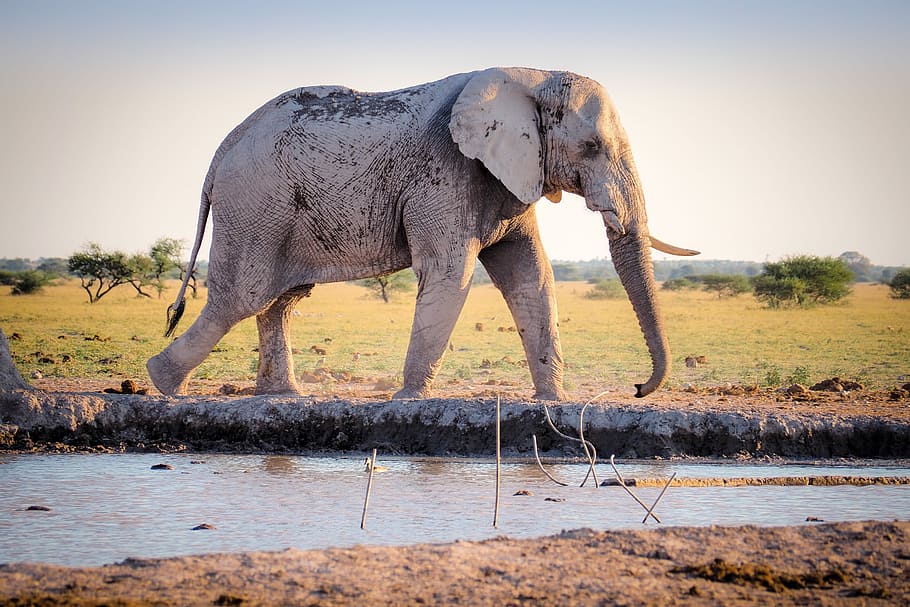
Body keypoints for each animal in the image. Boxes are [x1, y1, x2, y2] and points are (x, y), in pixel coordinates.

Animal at [150, 66, 700, 402]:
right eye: (590, 147)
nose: (637, 390)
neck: (531, 75)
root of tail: (222, 149)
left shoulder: (507, 176)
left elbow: (532, 276)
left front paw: (553, 401)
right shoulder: (445, 171)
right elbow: (450, 274)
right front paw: (408, 398)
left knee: (280, 299)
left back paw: (281, 396)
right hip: (255, 207)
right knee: (240, 298)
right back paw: (164, 383)